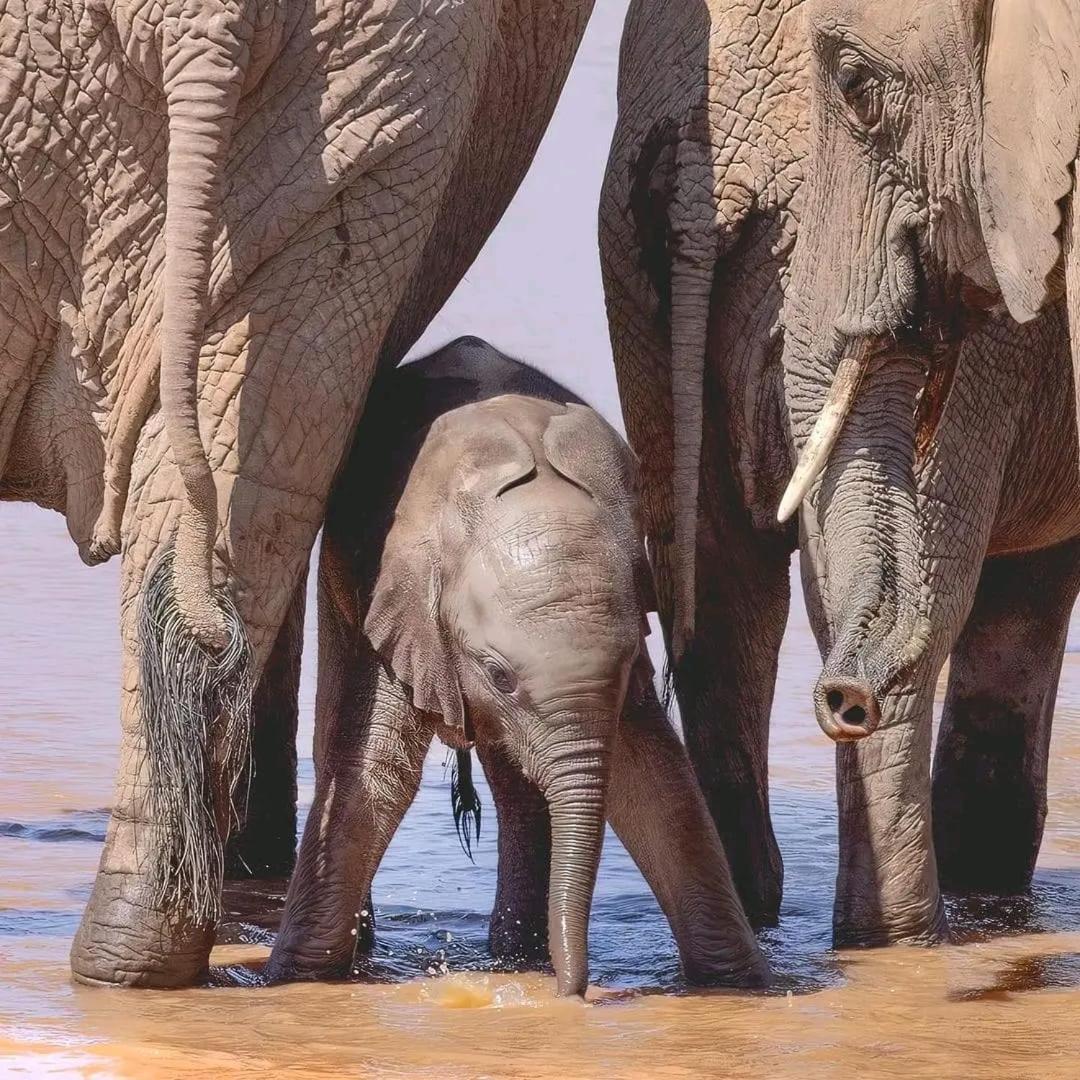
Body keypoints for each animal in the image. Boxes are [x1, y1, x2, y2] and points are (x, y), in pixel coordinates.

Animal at [263, 336, 768, 993]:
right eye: (498, 675)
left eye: (630, 662)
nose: (573, 991)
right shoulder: (402, 596)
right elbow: (376, 770)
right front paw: (296, 980)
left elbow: (653, 773)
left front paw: (743, 984)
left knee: (519, 781)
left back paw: (516, 957)